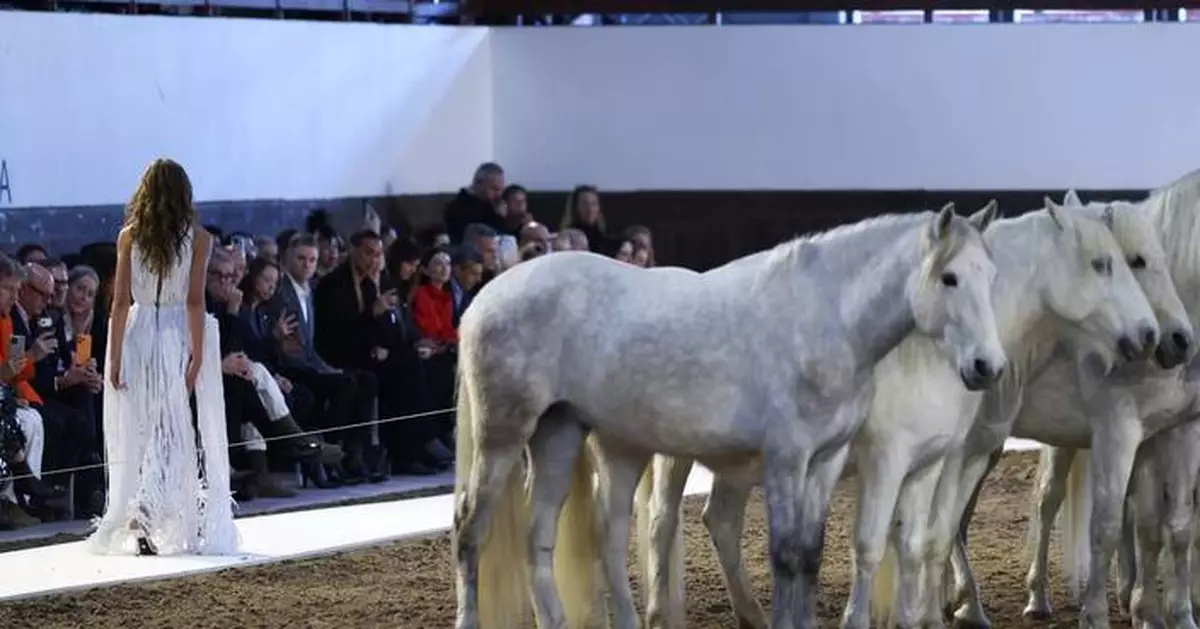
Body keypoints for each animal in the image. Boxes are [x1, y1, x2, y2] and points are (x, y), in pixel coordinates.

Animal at [452, 203, 1009, 629]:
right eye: (949, 278)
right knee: (471, 528)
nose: (989, 366)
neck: (825, 320)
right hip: (504, 435)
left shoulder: (825, 462)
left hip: (564, 435)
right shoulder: (787, 460)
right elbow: (785, 556)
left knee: (550, 536)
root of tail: (484, 299)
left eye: (991, 277)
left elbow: (810, 554)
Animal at [632, 199, 1161, 629]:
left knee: (720, 519)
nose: (1148, 335)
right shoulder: (893, 459)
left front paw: (934, 613)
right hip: (678, 455)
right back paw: (659, 614)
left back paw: (752, 615)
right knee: (661, 524)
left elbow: (926, 540)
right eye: (1102, 264)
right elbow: (899, 542)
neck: (930, 354)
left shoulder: (952, 458)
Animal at [948, 175, 1200, 629]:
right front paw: (1105, 612)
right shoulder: (1120, 433)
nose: (1178, 341)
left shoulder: (1177, 431)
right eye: (1135, 260)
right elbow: (1110, 526)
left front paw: (1172, 615)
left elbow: (1173, 526)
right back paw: (976, 605)